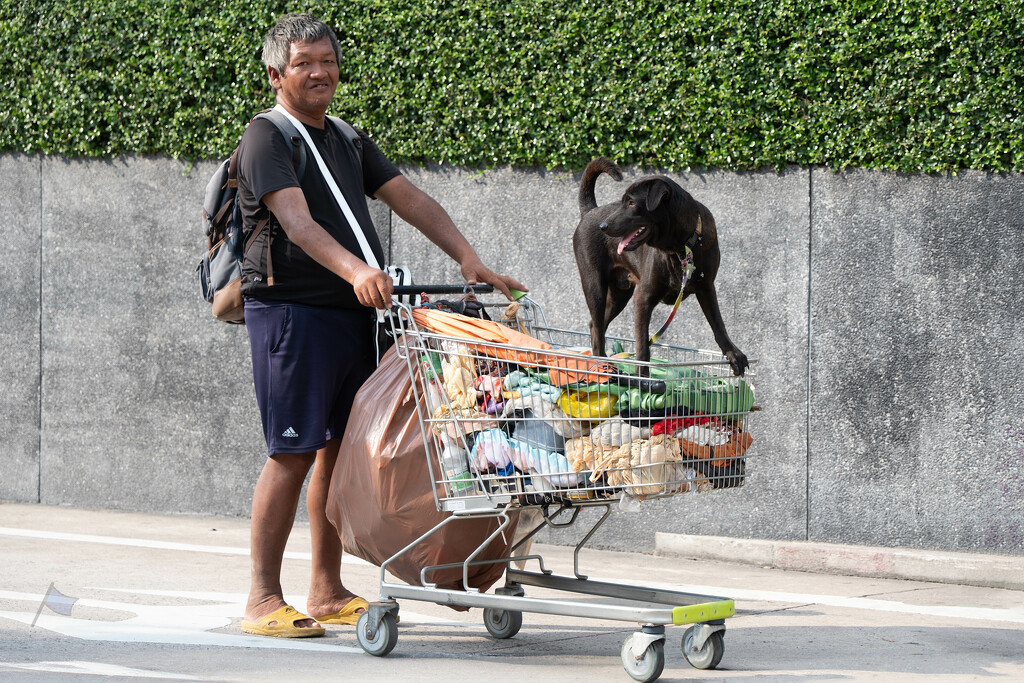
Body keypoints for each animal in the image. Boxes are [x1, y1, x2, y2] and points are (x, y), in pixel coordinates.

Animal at [573, 156, 749, 376]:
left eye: (632, 202)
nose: (603, 226)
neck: (681, 247)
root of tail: (590, 211)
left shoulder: (707, 287)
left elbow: (719, 324)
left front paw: (733, 354)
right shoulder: (643, 299)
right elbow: (642, 346)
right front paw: (643, 378)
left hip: (620, 294)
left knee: (596, 326)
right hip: (594, 286)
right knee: (597, 329)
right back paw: (602, 366)